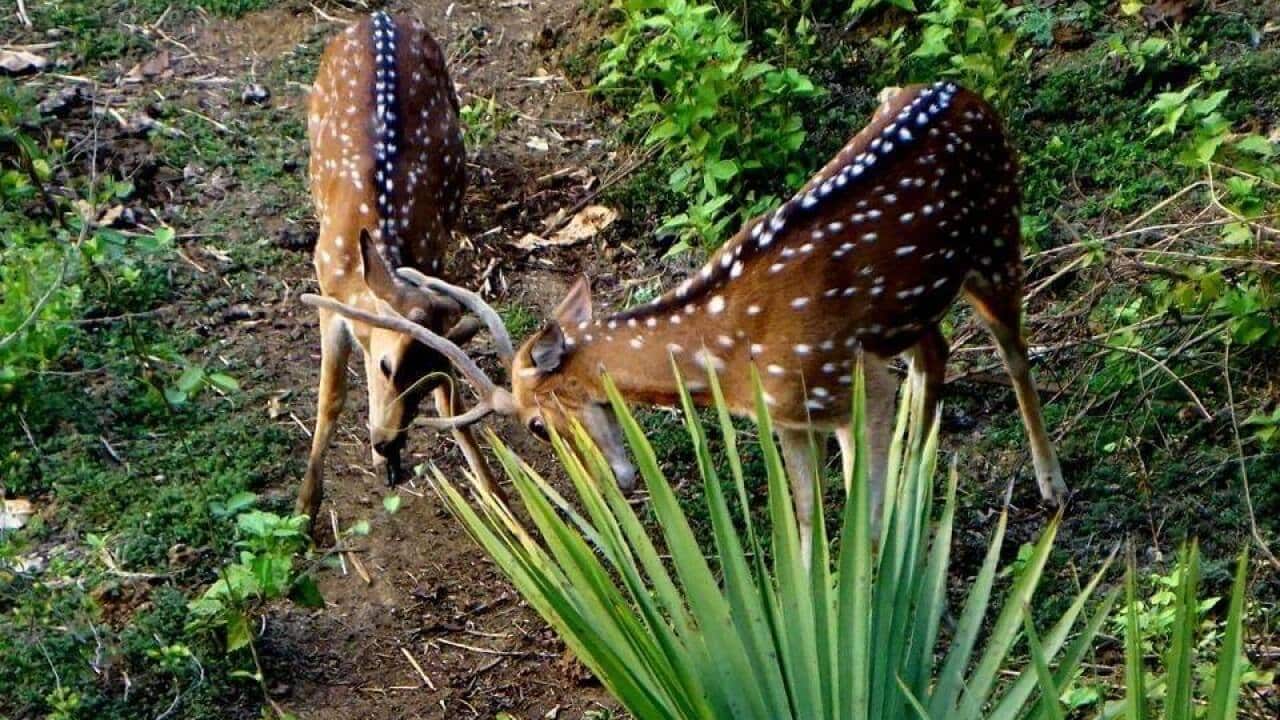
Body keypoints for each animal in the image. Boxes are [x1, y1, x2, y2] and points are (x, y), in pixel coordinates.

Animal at [298, 11, 505, 526]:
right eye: (387, 365)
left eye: (430, 378)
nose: (387, 441)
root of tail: (379, 15)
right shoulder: (327, 292)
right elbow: (330, 398)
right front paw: (305, 509)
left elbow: (453, 406)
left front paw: (497, 498)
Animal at [303, 81, 1068, 557]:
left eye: (537, 426)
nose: (616, 480)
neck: (730, 357)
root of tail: (965, 91)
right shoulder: (790, 417)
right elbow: (804, 519)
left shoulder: (849, 384)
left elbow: (865, 524)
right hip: (912, 305)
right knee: (936, 346)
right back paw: (924, 457)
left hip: (999, 236)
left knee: (1013, 346)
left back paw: (1051, 487)